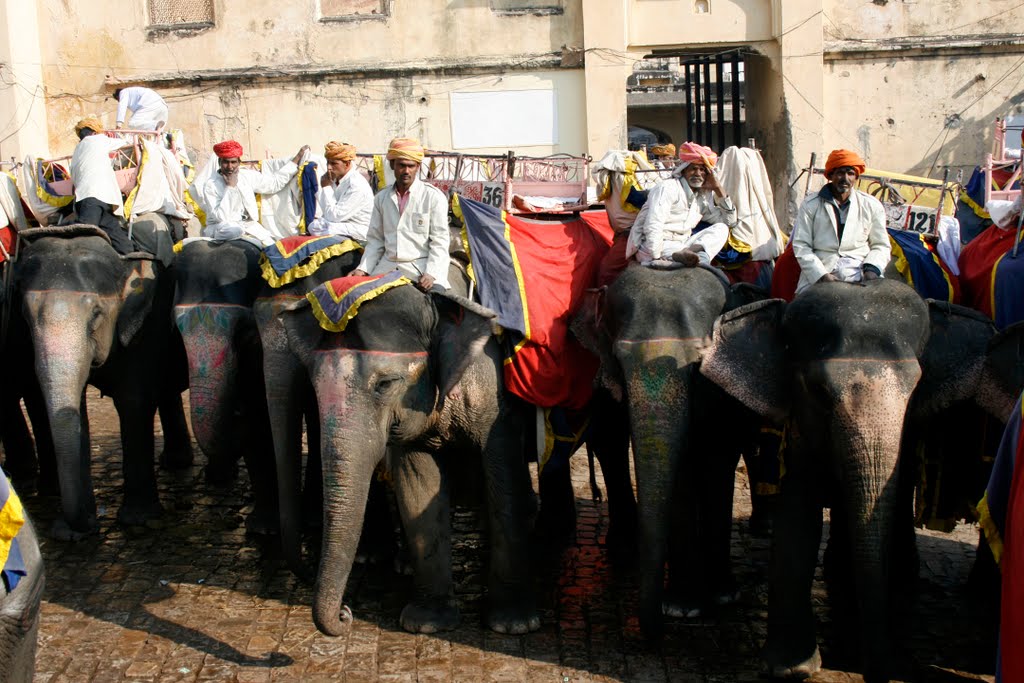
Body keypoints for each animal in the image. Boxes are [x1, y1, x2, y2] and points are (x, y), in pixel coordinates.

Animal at [14, 225, 192, 540]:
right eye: (25, 314)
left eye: (96, 314)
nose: (77, 527)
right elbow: (77, 407)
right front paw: (73, 532)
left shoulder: (148, 318)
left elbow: (133, 400)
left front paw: (137, 520)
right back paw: (176, 462)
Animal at [276, 264, 540, 638]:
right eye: (314, 384)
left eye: (386, 384)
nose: (346, 613)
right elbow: (418, 485)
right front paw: (427, 622)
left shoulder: (495, 394)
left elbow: (504, 475)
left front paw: (514, 624)